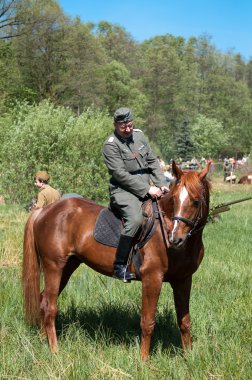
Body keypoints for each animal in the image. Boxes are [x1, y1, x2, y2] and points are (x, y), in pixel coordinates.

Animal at [21, 160, 212, 360]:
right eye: (174, 199)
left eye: (196, 201)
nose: (175, 239)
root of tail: (44, 211)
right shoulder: (152, 279)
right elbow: (147, 322)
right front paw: (143, 360)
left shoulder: (183, 280)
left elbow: (184, 321)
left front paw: (189, 356)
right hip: (53, 267)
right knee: (50, 307)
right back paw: (55, 351)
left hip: (67, 267)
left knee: (43, 301)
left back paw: (43, 340)